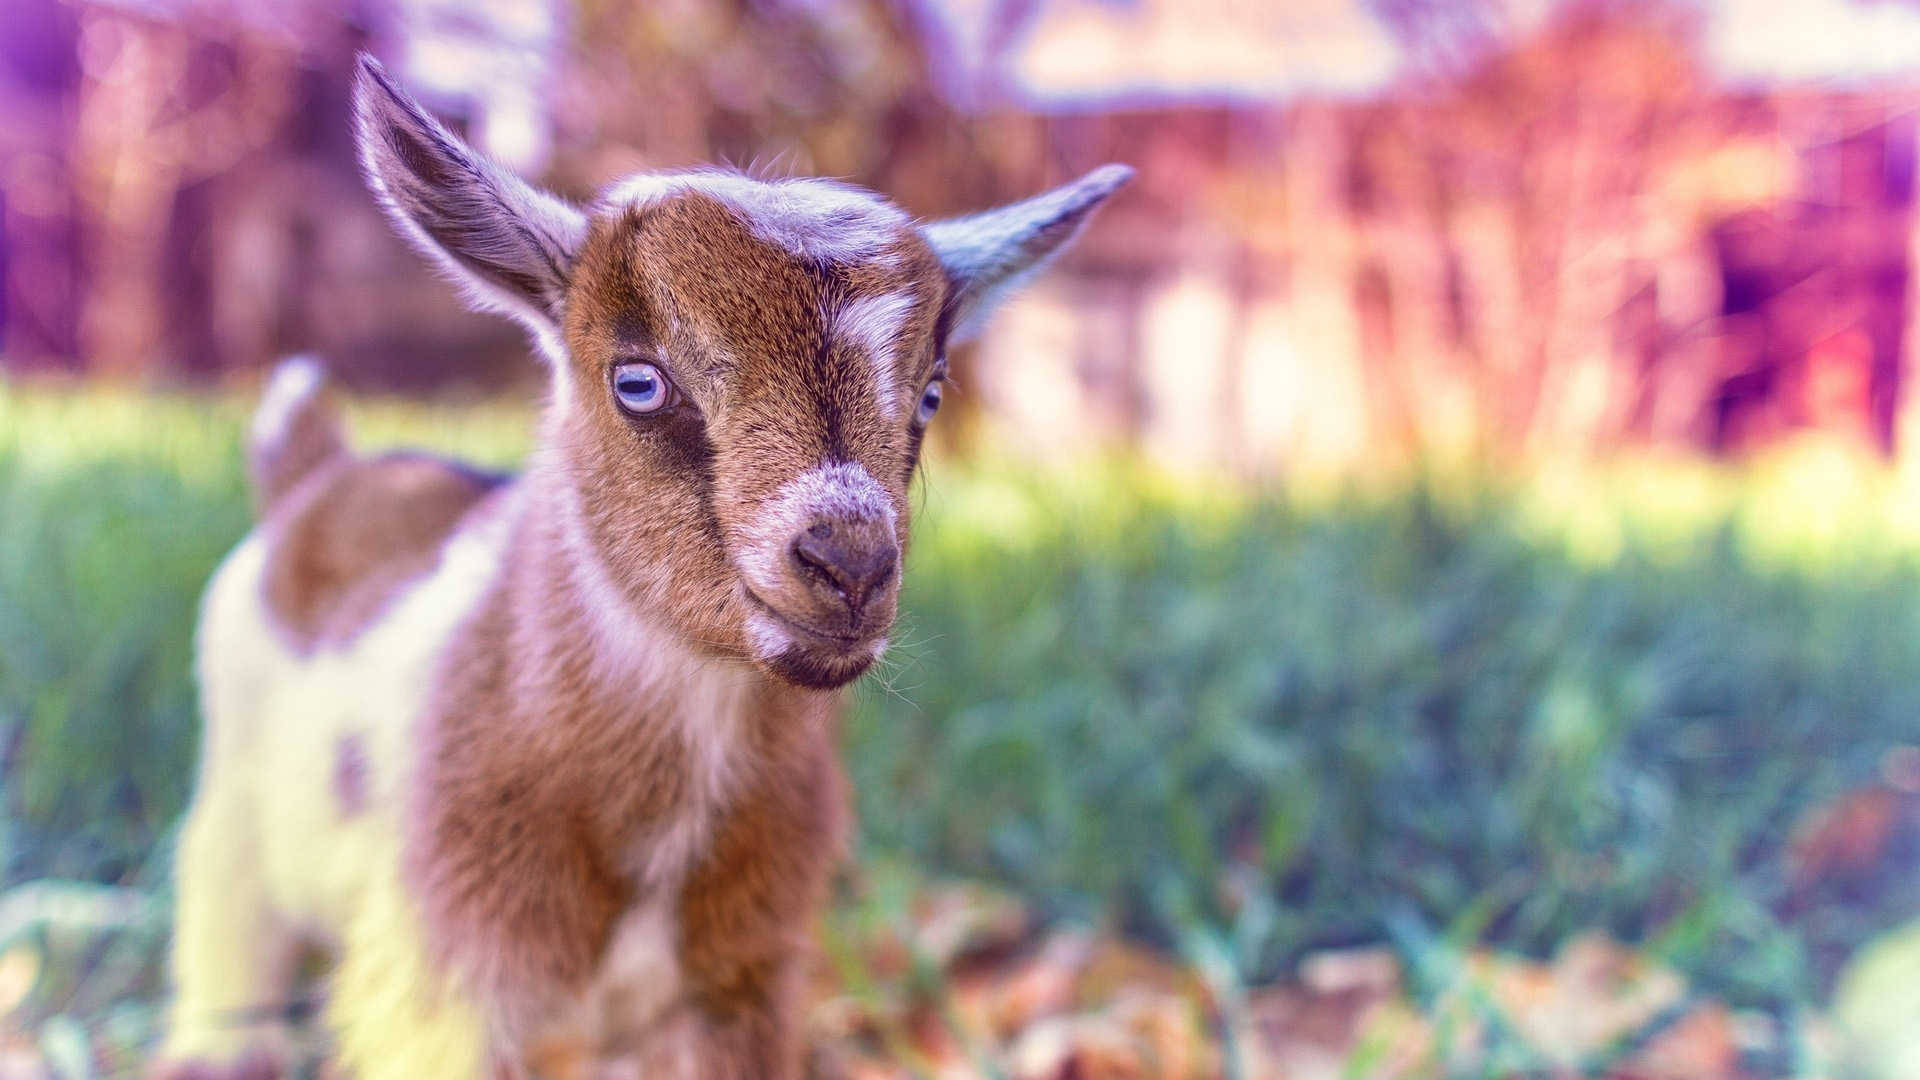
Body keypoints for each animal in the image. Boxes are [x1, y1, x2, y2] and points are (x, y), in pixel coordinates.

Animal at [151, 54, 1128, 1080]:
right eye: (637, 382)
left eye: (932, 393)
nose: (851, 566)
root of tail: (317, 472)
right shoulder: (441, 980)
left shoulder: (740, 985)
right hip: (230, 808)